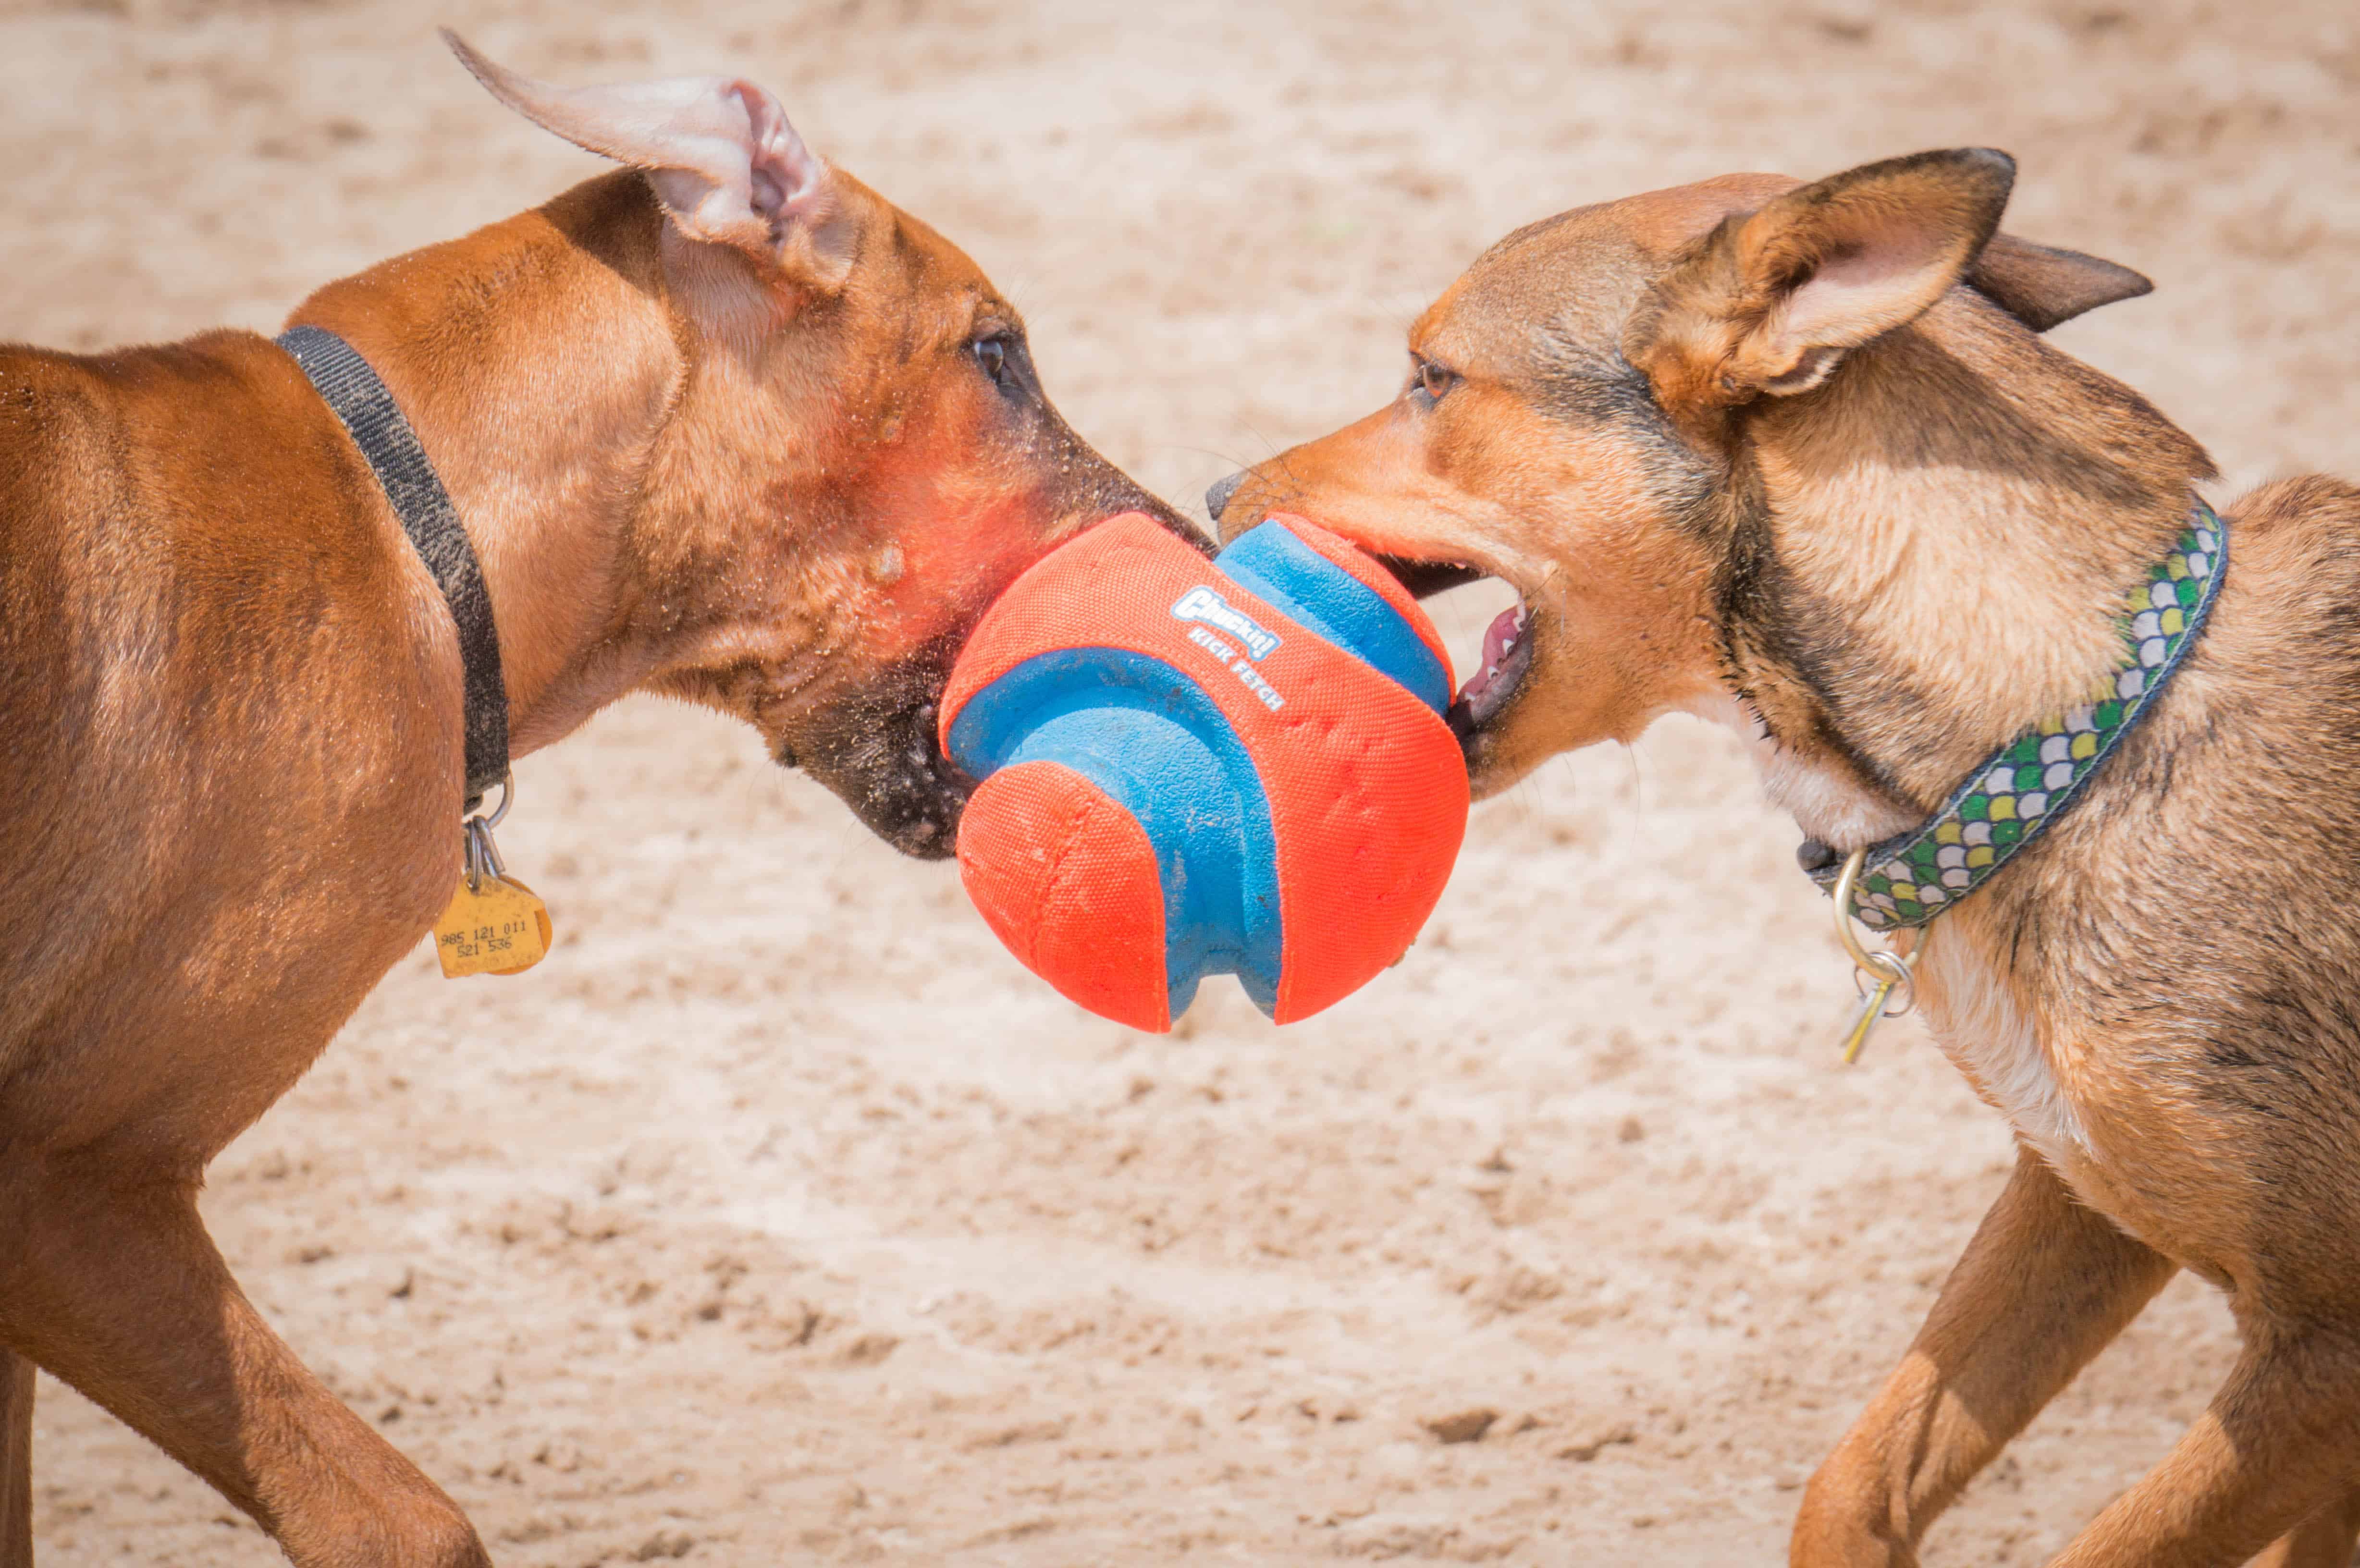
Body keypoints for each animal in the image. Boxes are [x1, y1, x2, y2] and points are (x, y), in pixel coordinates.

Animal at [1227, 150, 2360, 1568]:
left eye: (1431, 378)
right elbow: (1860, 1474)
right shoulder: (2074, 1195)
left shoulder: (2319, 1355)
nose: (1211, 495)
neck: (2081, 732)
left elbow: (2112, 1544)